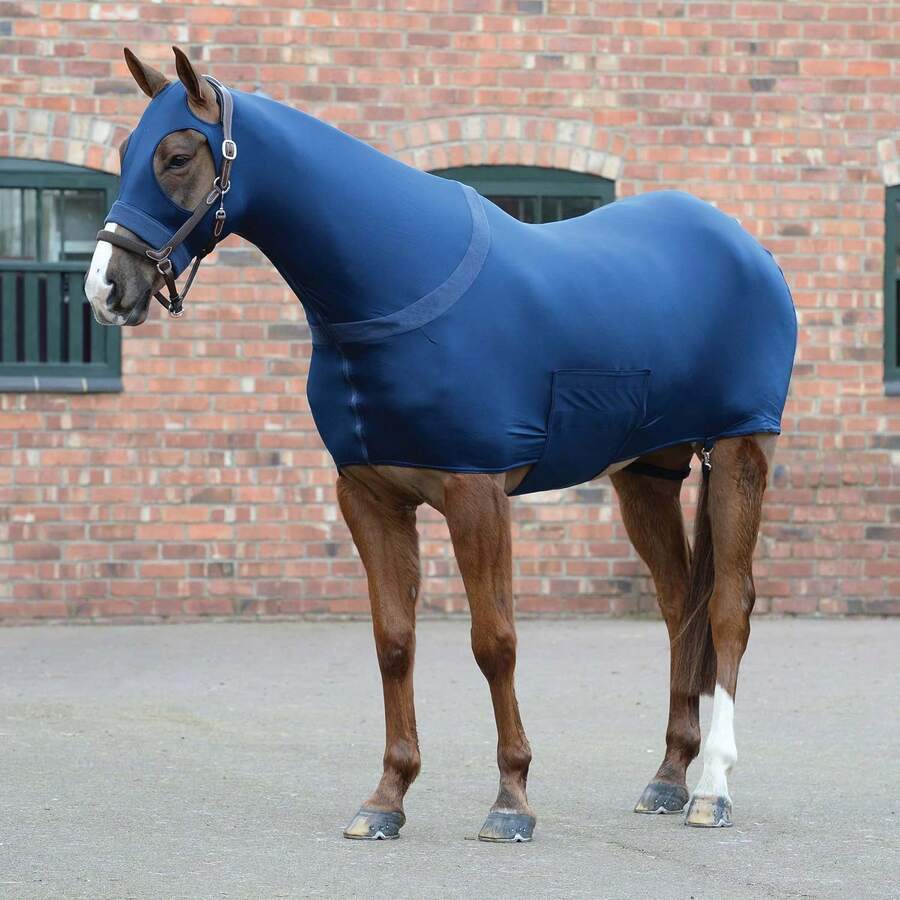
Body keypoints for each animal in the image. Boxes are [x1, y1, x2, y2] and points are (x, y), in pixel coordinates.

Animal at [85, 47, 797, 842]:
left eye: (177, 156)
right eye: (127, 150)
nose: (106, 288)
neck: (400, 283)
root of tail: (746, 246)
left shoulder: (475, 490)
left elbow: (495, 642)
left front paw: (511, 801)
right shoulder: (368, 497)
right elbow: (394, 642)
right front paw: (386, 800)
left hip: (741, 451)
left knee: (730, 606)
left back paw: (712, 788)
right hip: (646, 474)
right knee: (680, 607)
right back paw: (668, 777)